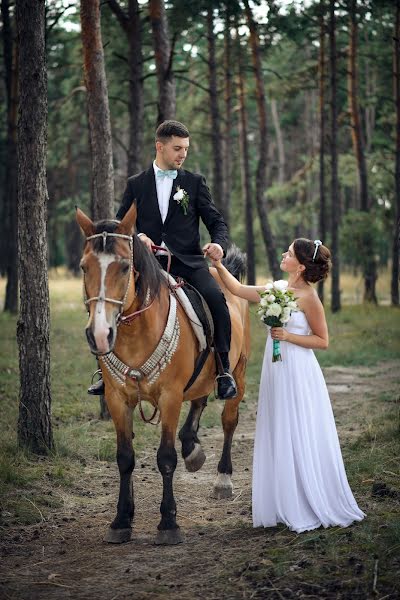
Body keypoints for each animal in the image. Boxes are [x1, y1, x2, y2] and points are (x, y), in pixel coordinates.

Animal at [76, 205, 248, 544]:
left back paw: (222, 479)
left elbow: (166, 458)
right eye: (83, 267)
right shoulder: (117, 399)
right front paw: (121, 520)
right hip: (198, 379)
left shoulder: (169, 397)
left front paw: (168, 523)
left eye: (124, 267)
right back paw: (192, 447)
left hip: (240, 371)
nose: (100, 334)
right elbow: (125, 457)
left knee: (228, 420)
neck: (135, 333)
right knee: (200, 399)